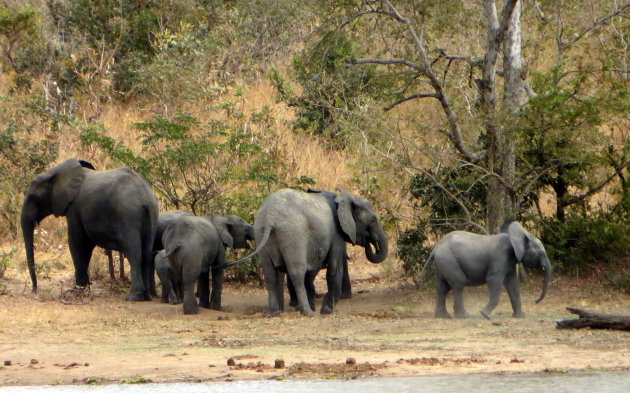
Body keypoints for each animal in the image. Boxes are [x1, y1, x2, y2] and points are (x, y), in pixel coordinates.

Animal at [22, 158, 160, 298]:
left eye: (33, 197)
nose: (34, 290)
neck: (55, 172)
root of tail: (146, 199)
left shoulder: (74, 208)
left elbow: (77, 243)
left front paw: (77, 290)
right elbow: (86, 245)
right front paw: (84, 288)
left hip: (127, 216)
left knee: (133, 251)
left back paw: (133, 296)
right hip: (152, 214)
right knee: (147, 252)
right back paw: (147, 296)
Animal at [248, 186, 390, 316]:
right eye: (373, 220)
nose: (371, 243)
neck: (345, 198)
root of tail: (270, 217)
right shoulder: (336, 234)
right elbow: (335, 269)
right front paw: (327, 311)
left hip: (260, 232)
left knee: (270, 274)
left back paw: (273, 313)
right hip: (293, 235)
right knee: (296, 273)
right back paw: (307, 312)